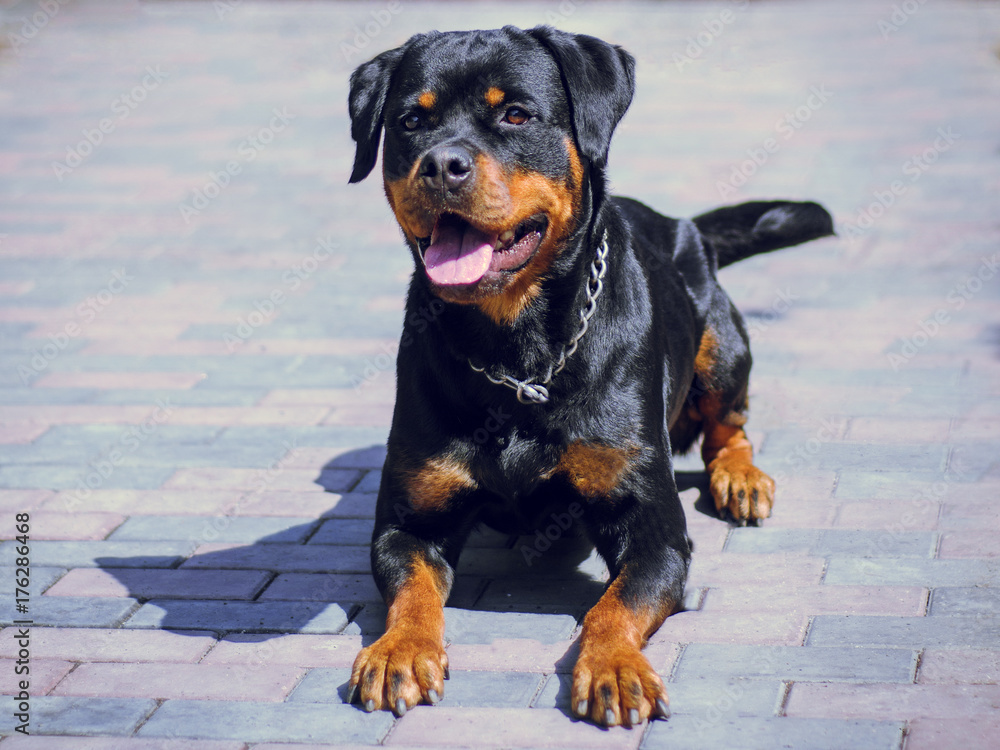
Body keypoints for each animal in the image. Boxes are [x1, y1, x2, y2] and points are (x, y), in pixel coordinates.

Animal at [348, 26, 832, 724]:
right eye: (411, 121)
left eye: (516, 115)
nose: (441, 165)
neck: (516, 350)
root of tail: (684, 223)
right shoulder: (408, 522)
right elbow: (411, 588)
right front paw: (400, 651)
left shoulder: (654, 532)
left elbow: (614, 606)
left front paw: (615, 666)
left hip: (722, 342)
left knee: (729, 424)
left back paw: (739, 478)